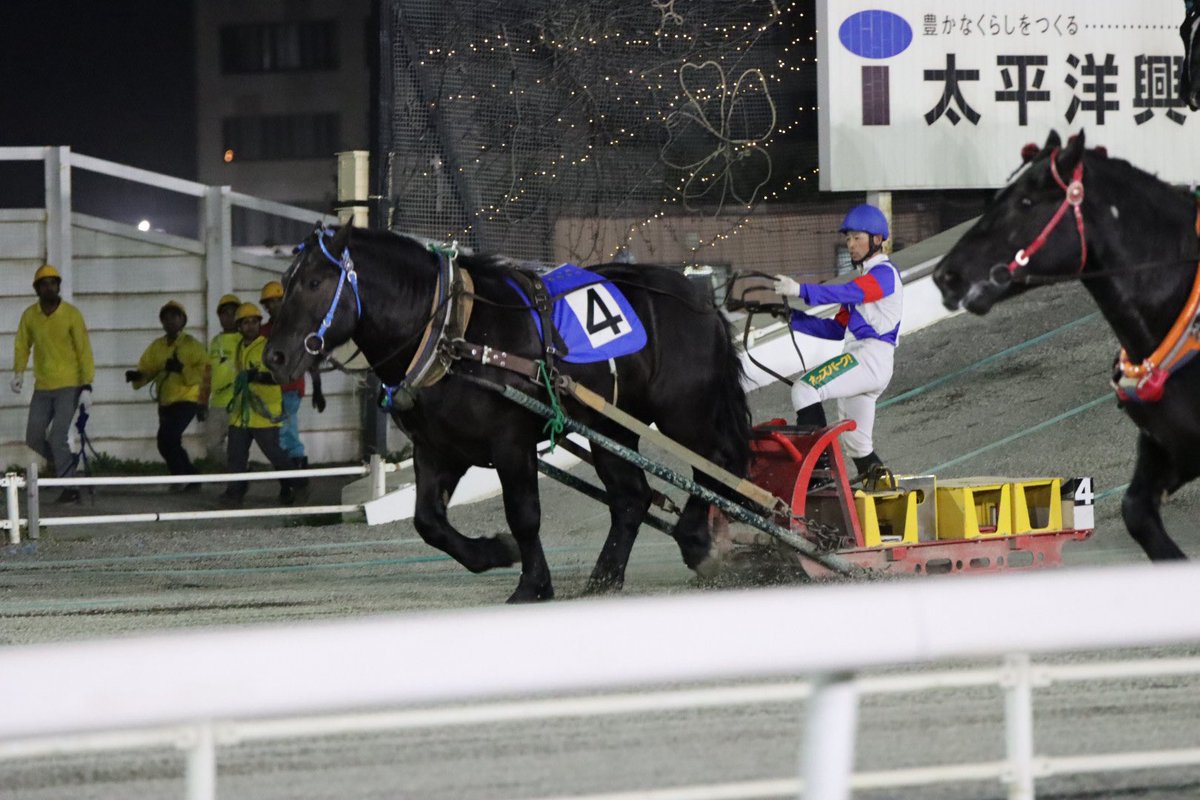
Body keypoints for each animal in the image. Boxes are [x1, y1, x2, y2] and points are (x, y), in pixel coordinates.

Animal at [262, 224, 753, 602]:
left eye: (315, 283)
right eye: (286, 281)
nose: (275, 357)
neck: (453, 333)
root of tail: (703, 301)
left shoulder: (510, 441)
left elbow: (523, 514)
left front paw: (532, 584)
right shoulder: (440, 448)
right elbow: (428, 522)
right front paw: (494, 552)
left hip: (684, 413)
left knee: (717, 466)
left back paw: (696, 540)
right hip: (610, 425)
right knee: (631, 498)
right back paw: (605, 577)